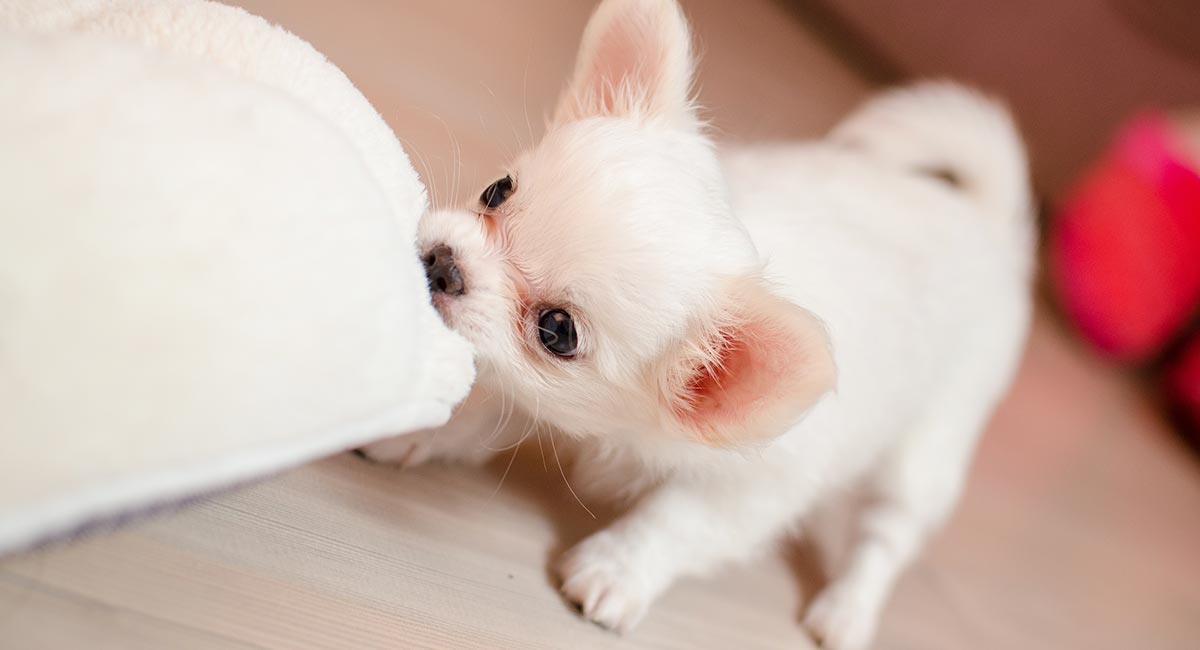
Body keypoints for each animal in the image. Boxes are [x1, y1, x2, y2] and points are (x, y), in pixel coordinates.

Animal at [360, 2, 1036, 647]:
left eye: (557, 332)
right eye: (497, 190)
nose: (442, 263)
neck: (625, 433)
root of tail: (987, 222)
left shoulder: (751, 494)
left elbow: (674, 523)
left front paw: (614, 571)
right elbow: (489, 405)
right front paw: (421, 426)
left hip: (925, 453)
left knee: (885, 537)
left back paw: (847, 611)